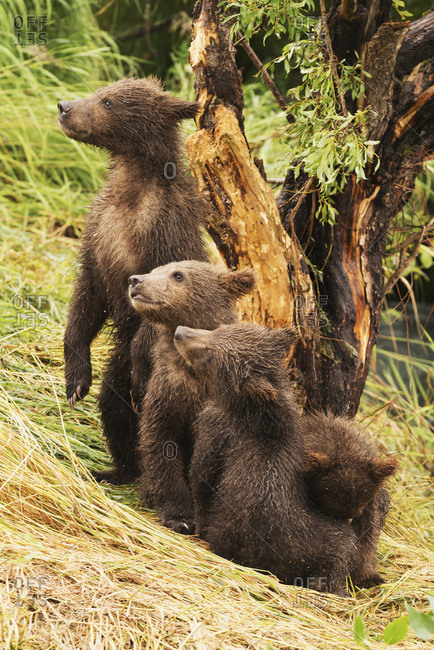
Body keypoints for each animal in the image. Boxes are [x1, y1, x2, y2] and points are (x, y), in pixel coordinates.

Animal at [58, 77, 208, 485]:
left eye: (108, 102)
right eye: (99, 91)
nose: (64, 106)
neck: (133, 187)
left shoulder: (162, 234)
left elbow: (154, 312)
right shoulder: (100, 232)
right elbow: (86, 297)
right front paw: (76, 381)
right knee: (113, 403)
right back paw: (116, 469)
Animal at [128, 260, 256, 534]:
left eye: (178, 275)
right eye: (155, 270)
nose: (135, 280)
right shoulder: (167, 390)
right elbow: (160, 442)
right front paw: (179, 515)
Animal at [173, 322, 357, 596]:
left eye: (209, 353)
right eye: (220, 328)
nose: (179, 332)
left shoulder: (215, 433)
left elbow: (201, 481)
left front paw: (195, 524)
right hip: (328, 545)